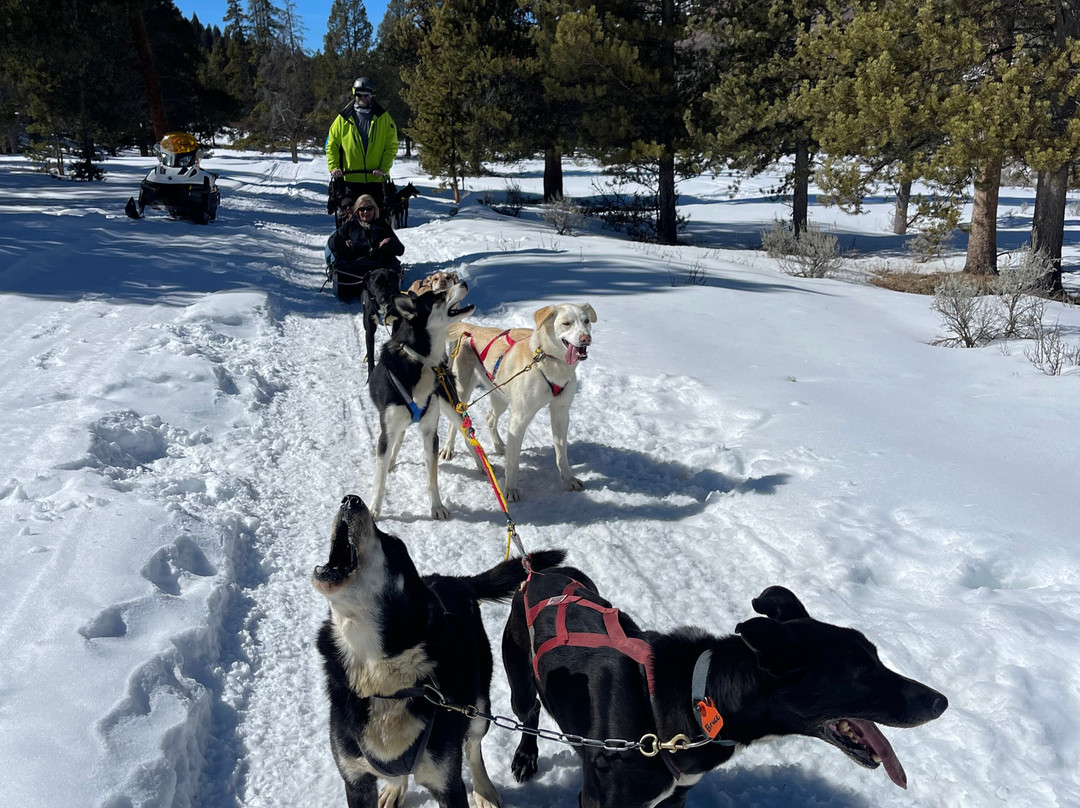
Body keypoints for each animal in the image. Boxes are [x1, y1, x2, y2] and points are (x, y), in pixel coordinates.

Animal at [440, 304, 600, 499]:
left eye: (586, 321)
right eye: (566, 323)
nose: (586, 338)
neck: (548, 363)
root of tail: (473, 329)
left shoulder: (560, 413)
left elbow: (561, 454)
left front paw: (569, 480)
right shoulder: (519, 418)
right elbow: (512, 461)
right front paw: (510, 489)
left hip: (501, 397)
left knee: (490, 418)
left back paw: (499, 445)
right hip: (462, 393)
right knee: (454, 423)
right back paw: (448, 448)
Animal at [501, 566, 950, 808]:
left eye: (877, 656)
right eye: (861, 671)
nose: (941, 702)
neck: (692, 700)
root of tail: (538, 572)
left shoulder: (675, 797)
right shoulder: (600, 801)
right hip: (519, 681)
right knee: (528, 714)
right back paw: (526, 756)